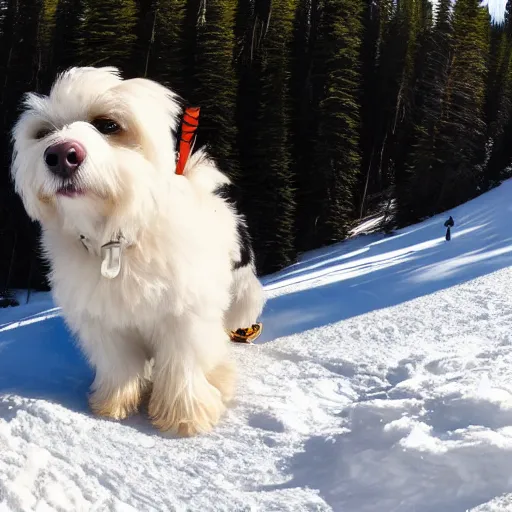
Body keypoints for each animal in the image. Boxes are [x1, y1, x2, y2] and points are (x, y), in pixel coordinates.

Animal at [10, 67, 266, 436]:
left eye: (108, 125)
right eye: (43, 132)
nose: (60, 155)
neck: (117, 238)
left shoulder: (184, 316)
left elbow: (182, 365)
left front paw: (185, 415)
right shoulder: (104, 322)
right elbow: (120, 365)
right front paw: (114, 404)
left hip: (241, 295)